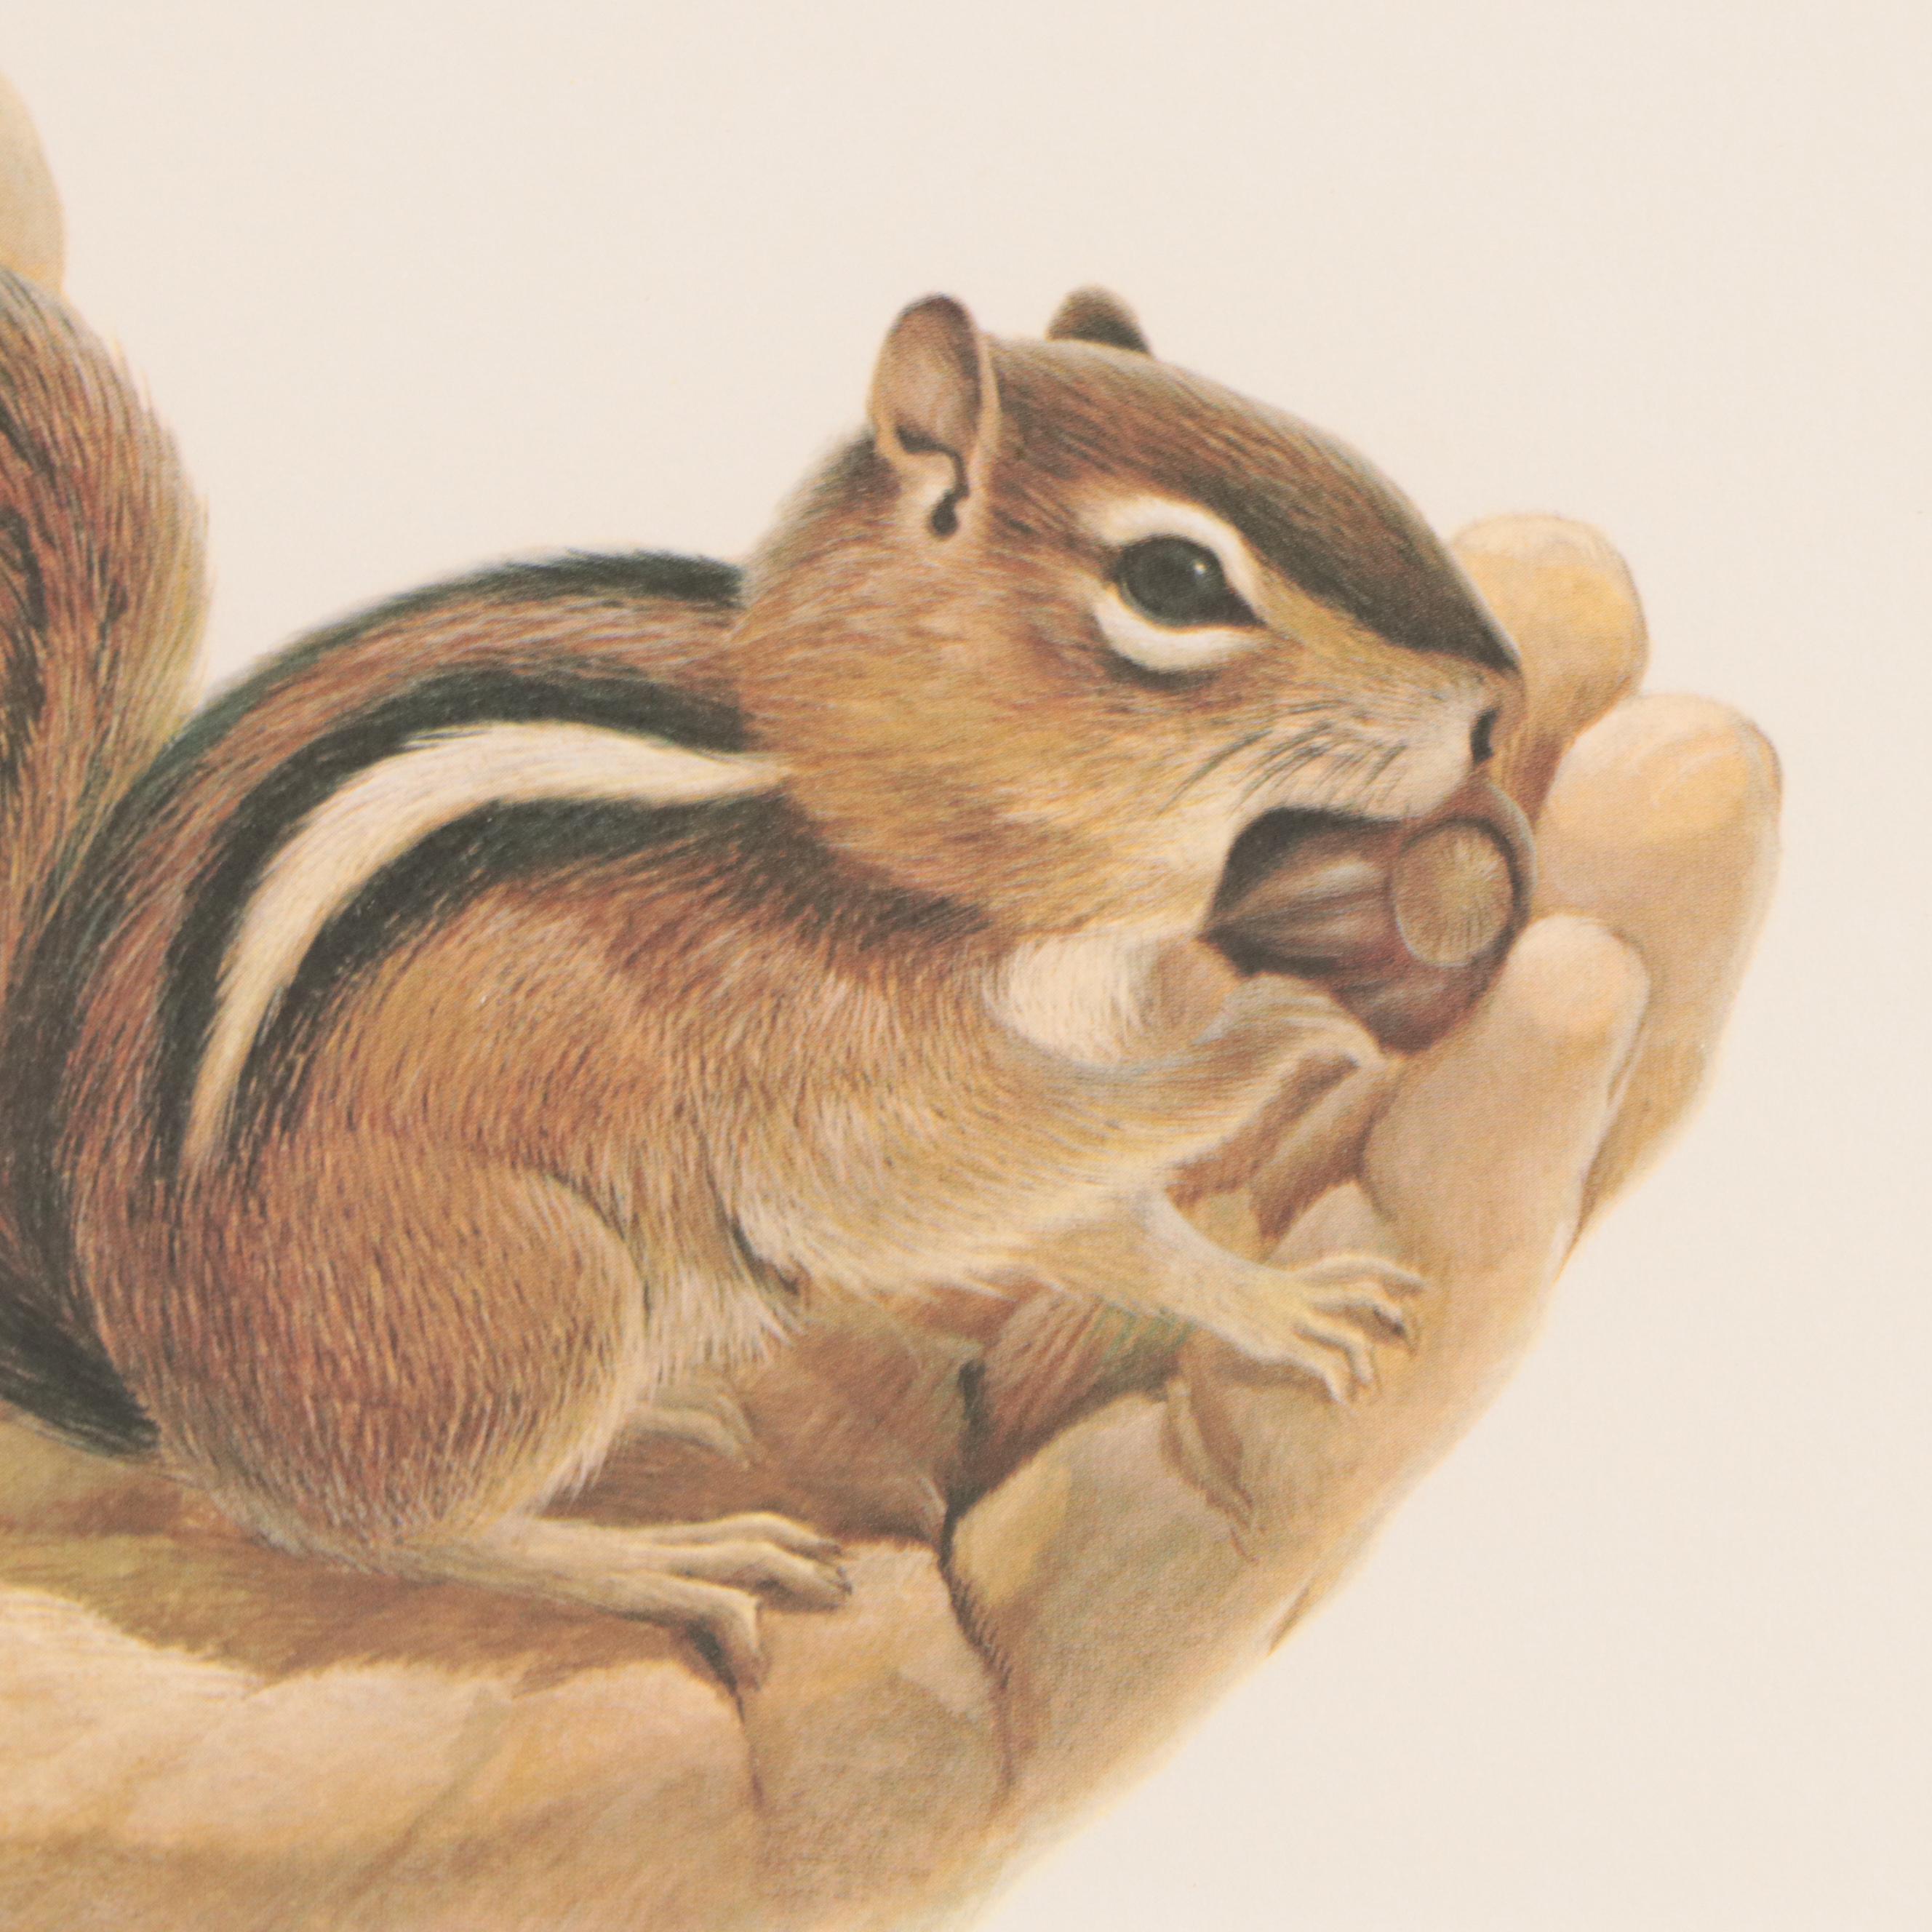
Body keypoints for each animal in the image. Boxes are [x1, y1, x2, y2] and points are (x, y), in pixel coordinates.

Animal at [0, 269, 1518, 1680]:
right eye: (1176, 583)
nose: (1499, 707)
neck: (855, 800)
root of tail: (146, 1387)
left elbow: (1098, 1212)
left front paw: (1272, 1300)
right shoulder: (837, 1058)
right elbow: (969, 1173)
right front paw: (1274, 1036)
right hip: (511, 1287)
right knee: (383, 1527)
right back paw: (660, 1558)